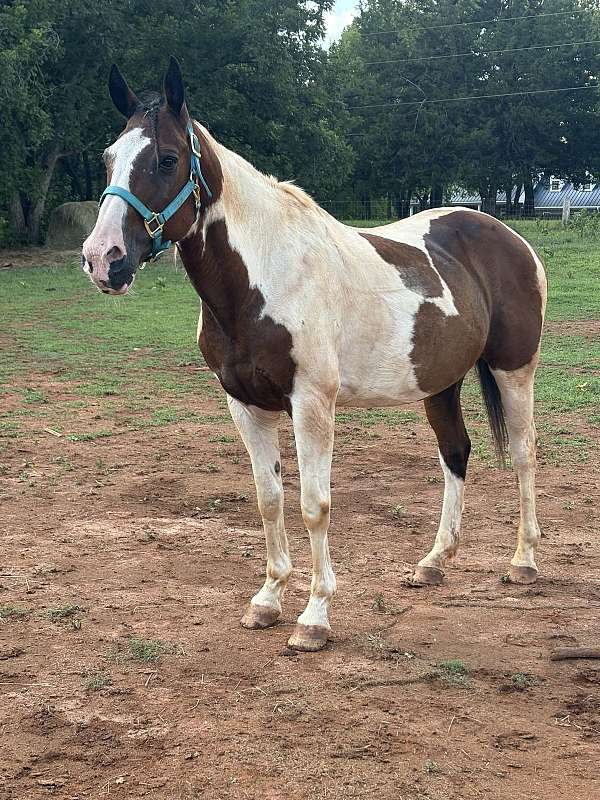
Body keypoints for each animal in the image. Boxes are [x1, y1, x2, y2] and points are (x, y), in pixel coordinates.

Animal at [82, 58, 547, 653]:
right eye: (108, 157)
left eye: (166, 159)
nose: (103, 259)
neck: (265, 276)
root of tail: (507, 235)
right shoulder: (245, 406)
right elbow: (269, 500)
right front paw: (267, 601)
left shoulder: (311, 404)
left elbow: (313, 505)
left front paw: (314, 618)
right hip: (440, 381)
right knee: (456, 454)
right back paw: (434, 562)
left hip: (515, 369)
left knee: (523, 454)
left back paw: (523, 562)